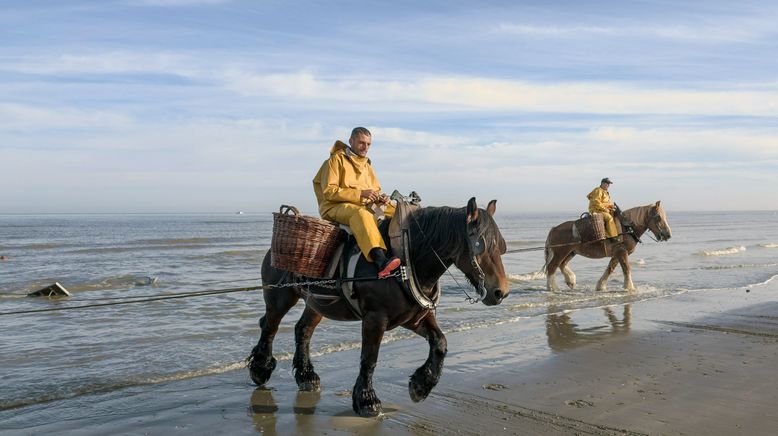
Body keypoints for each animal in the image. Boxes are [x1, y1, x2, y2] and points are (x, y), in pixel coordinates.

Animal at [246, 197, 506, 416]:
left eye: (500, 246)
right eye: (480, 245)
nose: (500, 292)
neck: (407, 259)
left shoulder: (413, 318)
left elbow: (440, 343)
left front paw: (421, 385)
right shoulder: (375, 318)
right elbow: (369, 357)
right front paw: (366, 399)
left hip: (317, 303)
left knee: (303, 330)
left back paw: (306, 376)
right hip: (280, 296)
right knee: (269, 326)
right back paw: (260, 368)